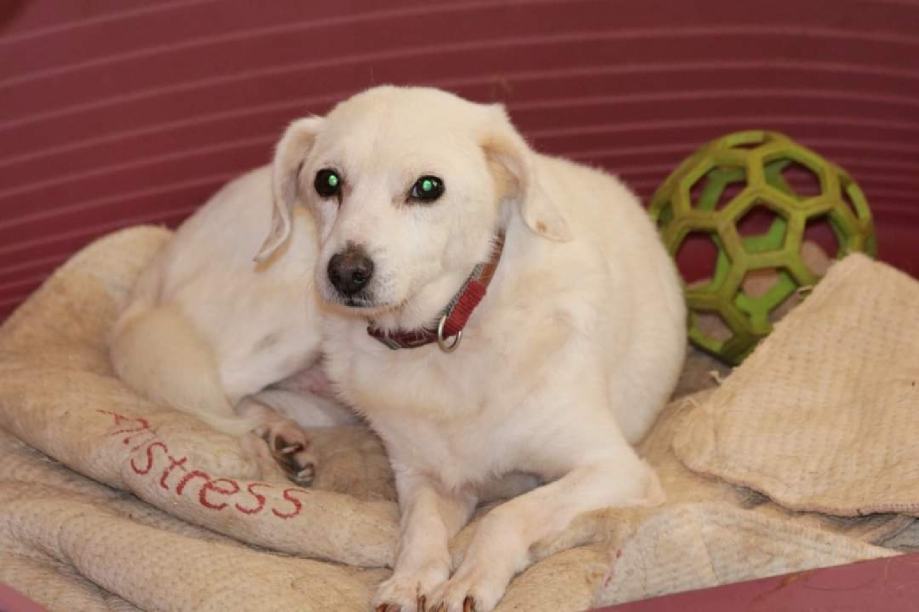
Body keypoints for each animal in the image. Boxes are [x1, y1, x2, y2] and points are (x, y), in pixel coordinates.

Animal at [253, 86, 687, 612]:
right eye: (327, 180)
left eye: (427, 187)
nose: (346, 272)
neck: (443, 332)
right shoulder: (424, 477)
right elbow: (419, 528)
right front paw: (411, 579)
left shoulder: (616, 468)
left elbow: (509, 514)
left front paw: (468, 579)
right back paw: (283, 438)